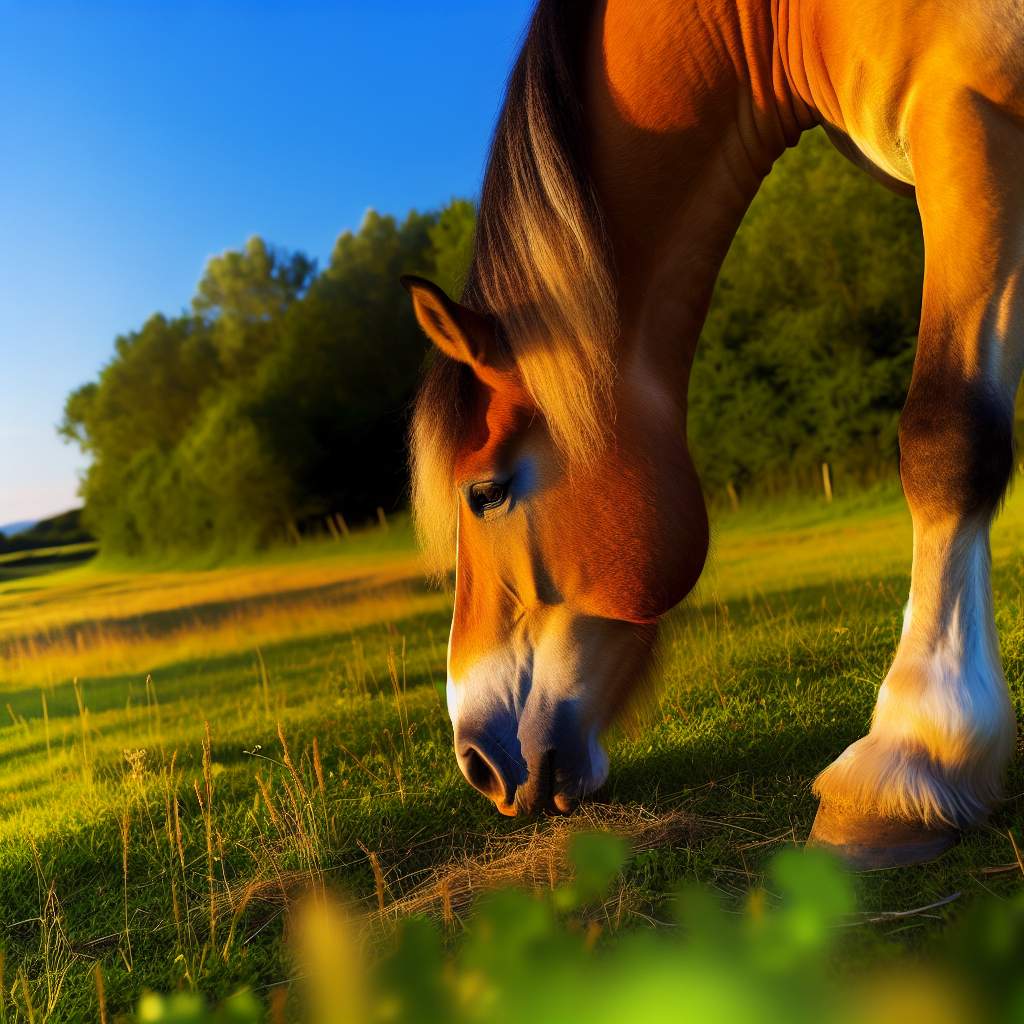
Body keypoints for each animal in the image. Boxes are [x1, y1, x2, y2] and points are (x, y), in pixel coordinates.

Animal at [401, 0, 1024, 872]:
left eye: (485, 491)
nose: (476, 760)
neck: (783, 21)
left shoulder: (966, 119)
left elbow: (947, 437)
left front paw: (909, 761)